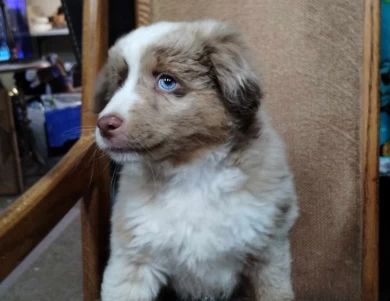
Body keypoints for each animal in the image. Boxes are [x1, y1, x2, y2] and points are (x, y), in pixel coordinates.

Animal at [94, 19, 298, 300]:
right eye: (120, 81)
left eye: (167, 81)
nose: (104, 125)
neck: (191, 174)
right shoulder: (134, 258)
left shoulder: (268, 251)